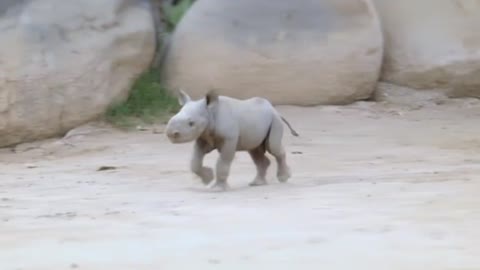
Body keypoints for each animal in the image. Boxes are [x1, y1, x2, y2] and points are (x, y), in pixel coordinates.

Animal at [167, 89, 298, 191]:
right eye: (172, 117)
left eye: (191, 123)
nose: (171, 134)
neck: (211, 112)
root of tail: (274, 110)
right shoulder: (203, 136)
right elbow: (195, 162)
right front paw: (208, 179)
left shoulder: (229, 139)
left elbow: (223, 162)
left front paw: (218, 189)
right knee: (254, 151)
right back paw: (256, 184)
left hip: (275, 120)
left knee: (273, 147)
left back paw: (283, 178)